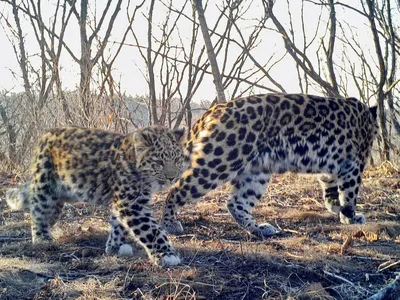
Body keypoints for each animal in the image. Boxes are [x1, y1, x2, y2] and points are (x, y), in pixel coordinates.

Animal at [6, 125, 188, 266]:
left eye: (177, 159)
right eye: (159, 162)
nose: (172, 177)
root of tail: (43, 136)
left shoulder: (125, 201)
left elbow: (118, 224)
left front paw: (115, 246)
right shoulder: (131, 204)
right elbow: (150, 229)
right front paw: (167, 255)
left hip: (58, 200)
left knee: (47, 214)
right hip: (44, 186)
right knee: (38, 211)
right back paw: (41, 239)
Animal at [162, 94, 378, 239]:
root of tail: (214, 110)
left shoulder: (332, 167)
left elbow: (331, 190)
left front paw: (337, 209)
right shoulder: (354, 165)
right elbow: (349, 193)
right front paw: (350, 216)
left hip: (256, 172)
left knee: (236, 203)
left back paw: (260, 229)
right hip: (219, 162)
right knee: (176, 190)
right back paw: (170, 224)